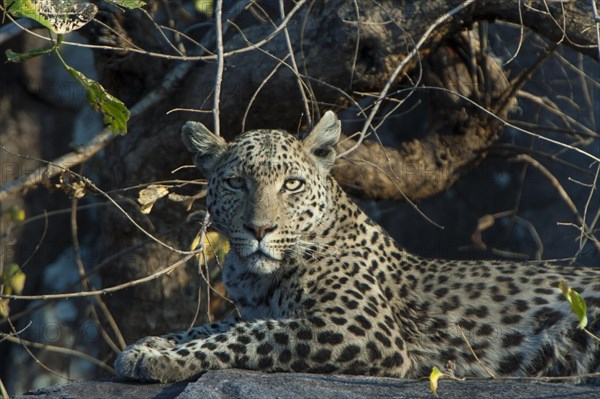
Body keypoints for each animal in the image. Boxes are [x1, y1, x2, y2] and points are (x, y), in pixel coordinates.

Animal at [116, 110, 600, 384]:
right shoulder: (255, 309)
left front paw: (161, 360)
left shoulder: (359, 329)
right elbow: (209, 326)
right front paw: (148, 345)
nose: (260, 229)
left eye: (291, 184)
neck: (257, 277)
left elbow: (249, 334)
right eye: (236, 182)